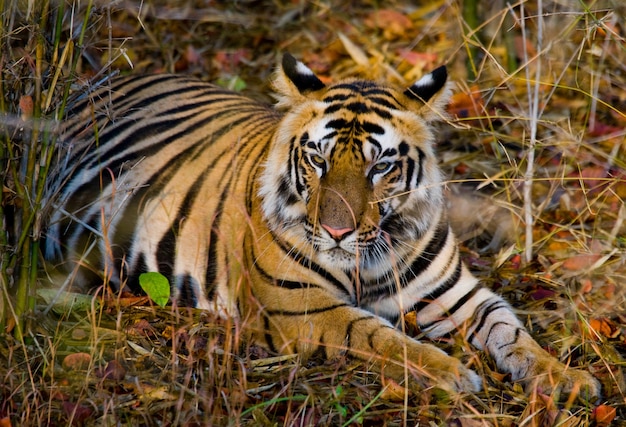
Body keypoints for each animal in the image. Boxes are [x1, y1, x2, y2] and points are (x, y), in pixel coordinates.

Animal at [41, 53, 596, 398]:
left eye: (380, 166)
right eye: (318, 160)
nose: (336, 233)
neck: (369, 257)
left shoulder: (456, 296)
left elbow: (510, 329)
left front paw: (567, 378)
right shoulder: (302, 306)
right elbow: (379, 336)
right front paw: (451, 373)